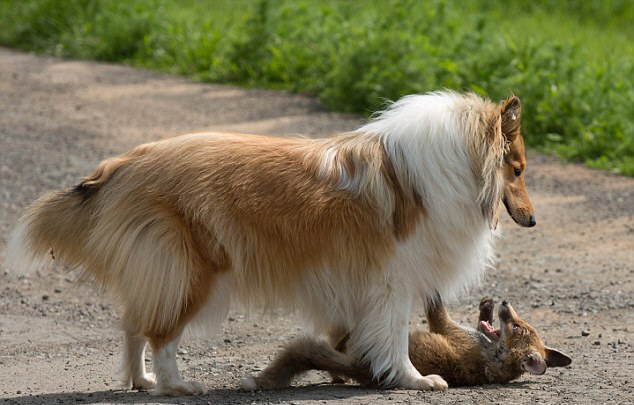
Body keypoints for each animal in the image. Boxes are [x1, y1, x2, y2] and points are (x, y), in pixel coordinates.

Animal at [8, 91, 532, 394]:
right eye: (518, 169)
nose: (531, 220)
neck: (458, 161)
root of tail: (121, 164)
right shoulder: (392, 281)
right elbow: (395, 338)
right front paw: (414, 380)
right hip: (193, 269)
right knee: (161, 333)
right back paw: (178, 386)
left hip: (161, 268)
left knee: (137, 323)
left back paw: (142, 381)